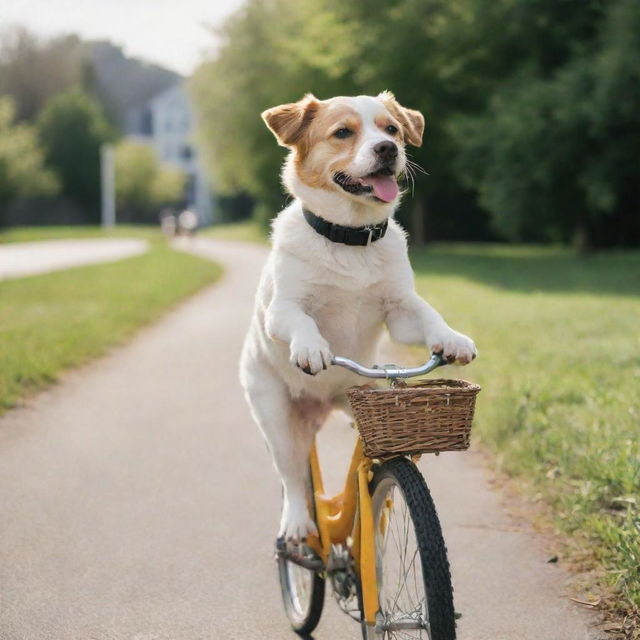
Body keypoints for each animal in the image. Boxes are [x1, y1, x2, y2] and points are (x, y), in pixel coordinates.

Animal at [239, 92, 476, 544]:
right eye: (343, 132)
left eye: (392, 130)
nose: (387, 149)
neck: (349, 238)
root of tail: (316, 405)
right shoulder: (284, 310)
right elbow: (303, 323)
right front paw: (312, 348)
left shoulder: (401, 310)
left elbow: (428, 315)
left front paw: (452, 338)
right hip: (275, 418)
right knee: (292, 479)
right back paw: (297, 523)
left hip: (355, 404)